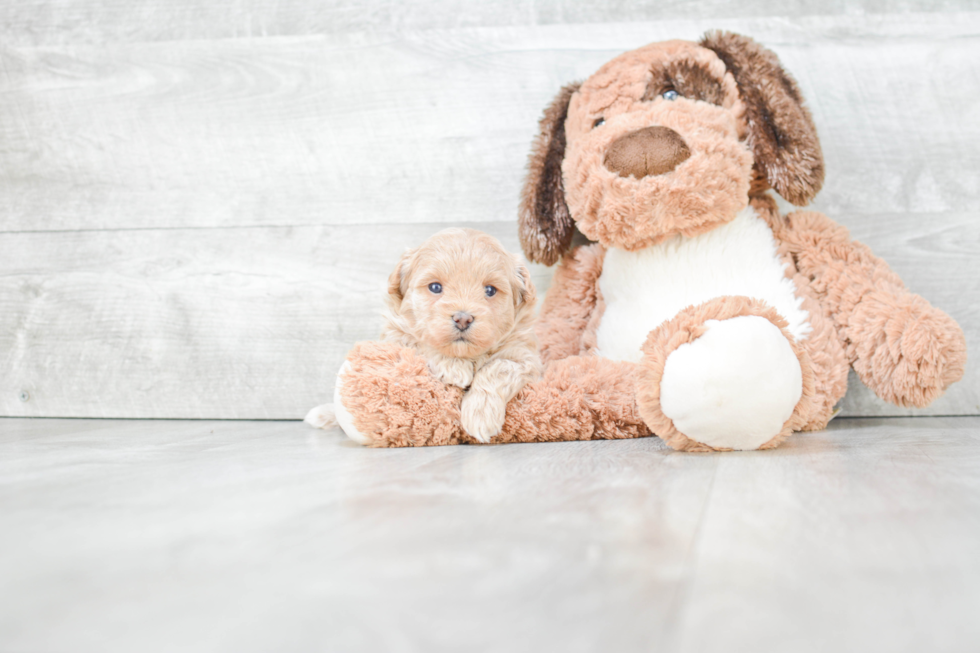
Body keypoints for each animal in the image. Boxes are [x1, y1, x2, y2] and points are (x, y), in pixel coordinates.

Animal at [382, 227, 540, 440]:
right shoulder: (395, 337)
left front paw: (480, 413)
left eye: (490, 290)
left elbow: (499, 367)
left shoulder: (526, 357)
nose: (463, 319)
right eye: (435, 287)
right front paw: (453, 366)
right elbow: (421, 342)